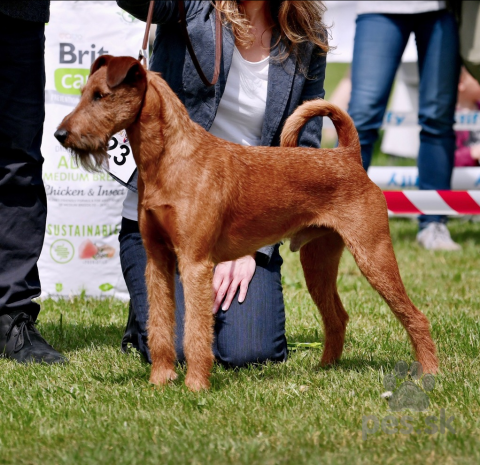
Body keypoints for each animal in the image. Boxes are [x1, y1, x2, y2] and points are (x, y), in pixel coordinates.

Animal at [54, 56, 436, 390]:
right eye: (83, 92)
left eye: (100, 95)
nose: (60, 134)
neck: (170, 159)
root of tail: (348, 155)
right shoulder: (158, 261)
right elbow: (161, 328)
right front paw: (159, 382)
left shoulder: (195, 263)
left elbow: (195, 332)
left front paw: (195, 387)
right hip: (318, 261)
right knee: (337, 316)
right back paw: (325, 369)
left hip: (373, 254)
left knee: (415, 316)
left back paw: (430, 373)